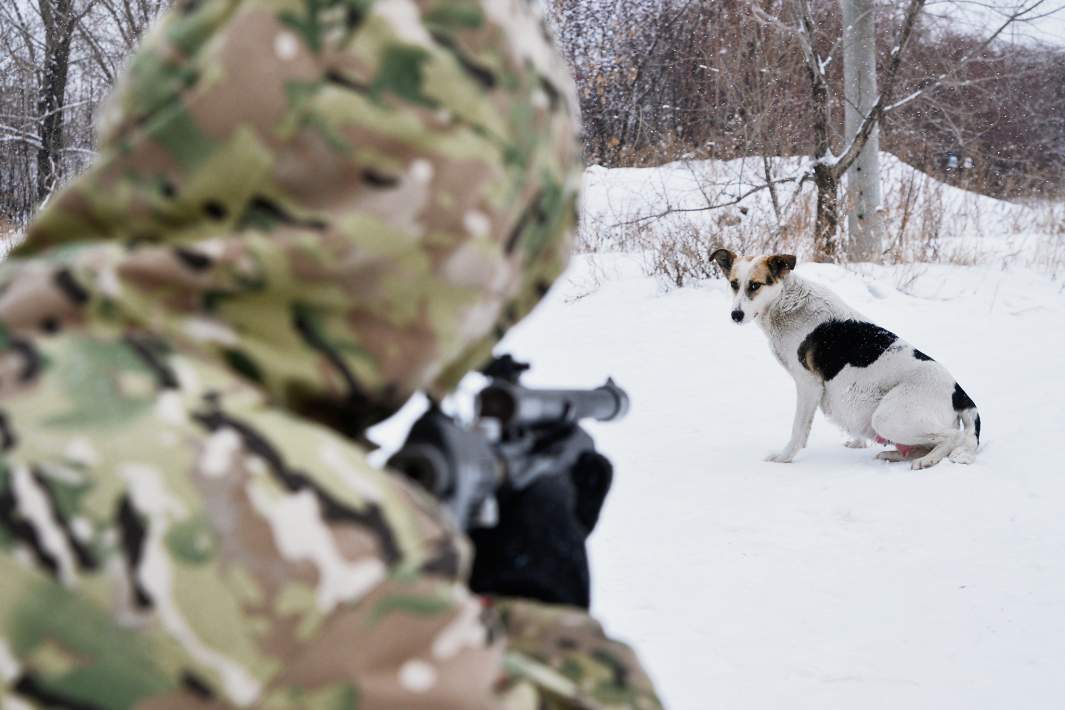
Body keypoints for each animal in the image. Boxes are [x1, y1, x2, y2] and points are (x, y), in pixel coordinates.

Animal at [715, 246, 979, 468]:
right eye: (734, 284)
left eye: (755, 285)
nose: (735, 315)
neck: (786, 303)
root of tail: (960, 393)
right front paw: (857, 443)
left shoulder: (808, 385)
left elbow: (798, 430)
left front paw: (784, 457)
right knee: (923, 444)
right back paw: (894, 454)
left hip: (887, 417)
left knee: (951, 437)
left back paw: (927, 460)